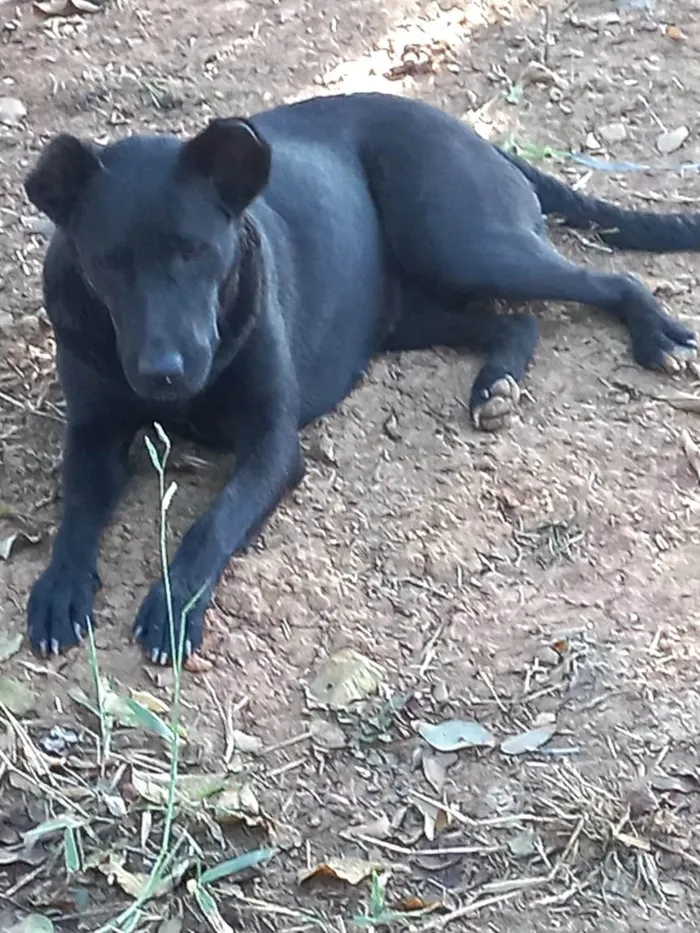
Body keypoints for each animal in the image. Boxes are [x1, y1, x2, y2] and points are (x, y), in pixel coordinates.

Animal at [24, 93, 696, 664]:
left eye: (195, 250)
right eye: (109, 262)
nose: (164, 372)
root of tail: (472, 134)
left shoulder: (272, 445)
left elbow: (211, 523)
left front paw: (173, 602)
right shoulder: (93, 435)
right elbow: (77, 510)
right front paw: (60, 587)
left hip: (462, 243)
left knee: (608, 281)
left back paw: (656, 334)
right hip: (410, 309)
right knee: (517, 323)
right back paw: (495, 385)